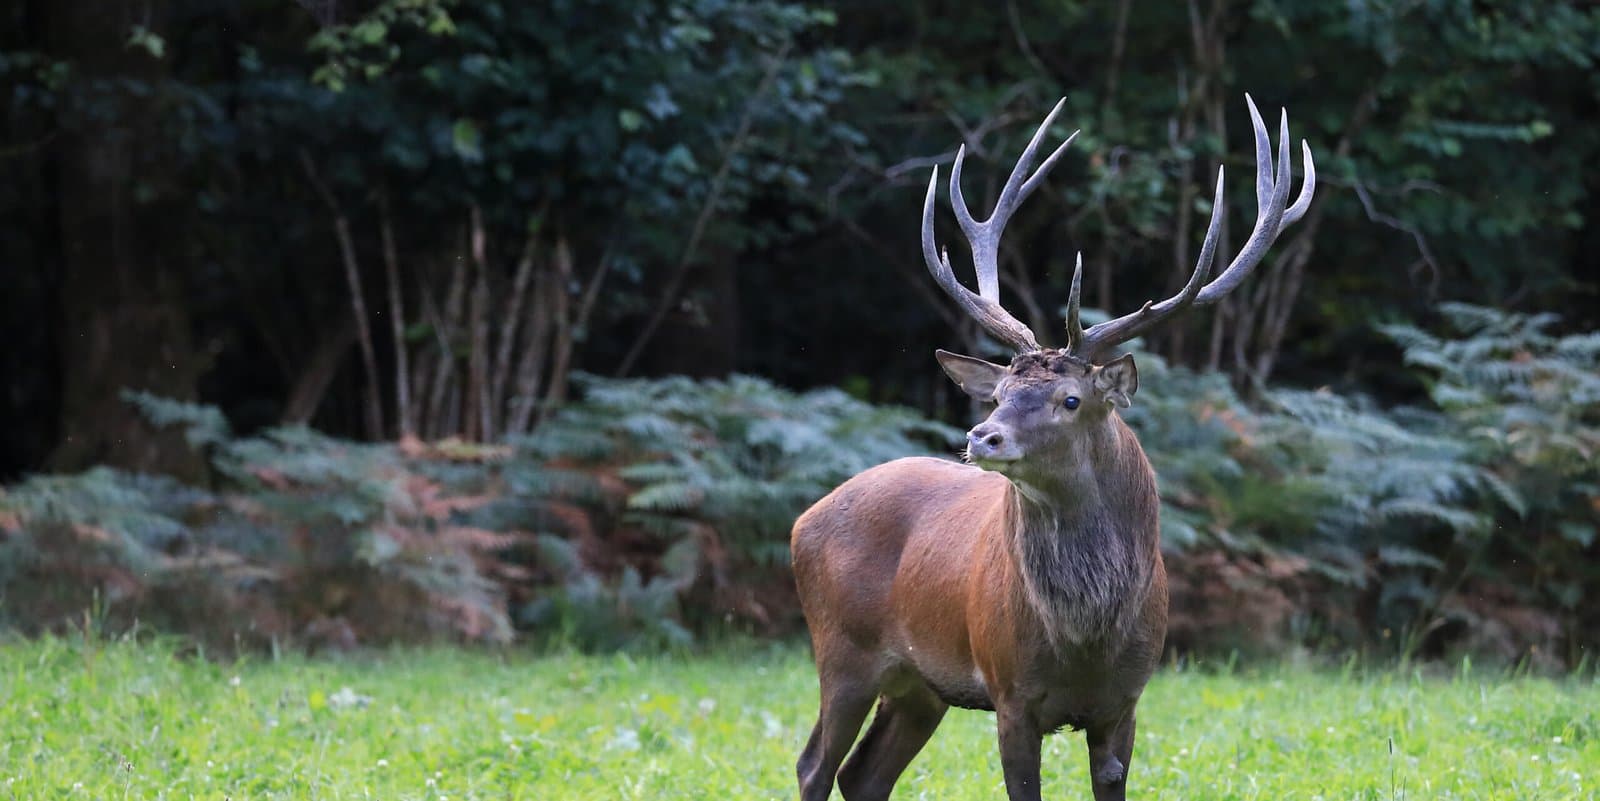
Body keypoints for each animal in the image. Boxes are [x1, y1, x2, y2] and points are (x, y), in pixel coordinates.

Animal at [790, 95, 1314, 801]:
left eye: (1070, 399)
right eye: (999, 392)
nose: (981, 435)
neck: (1085, 640)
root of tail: (804, 519)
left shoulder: (1127, 701)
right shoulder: (1010, 692)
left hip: (920, 684)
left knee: (864, 773)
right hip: (840, 647)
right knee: (815, 764)